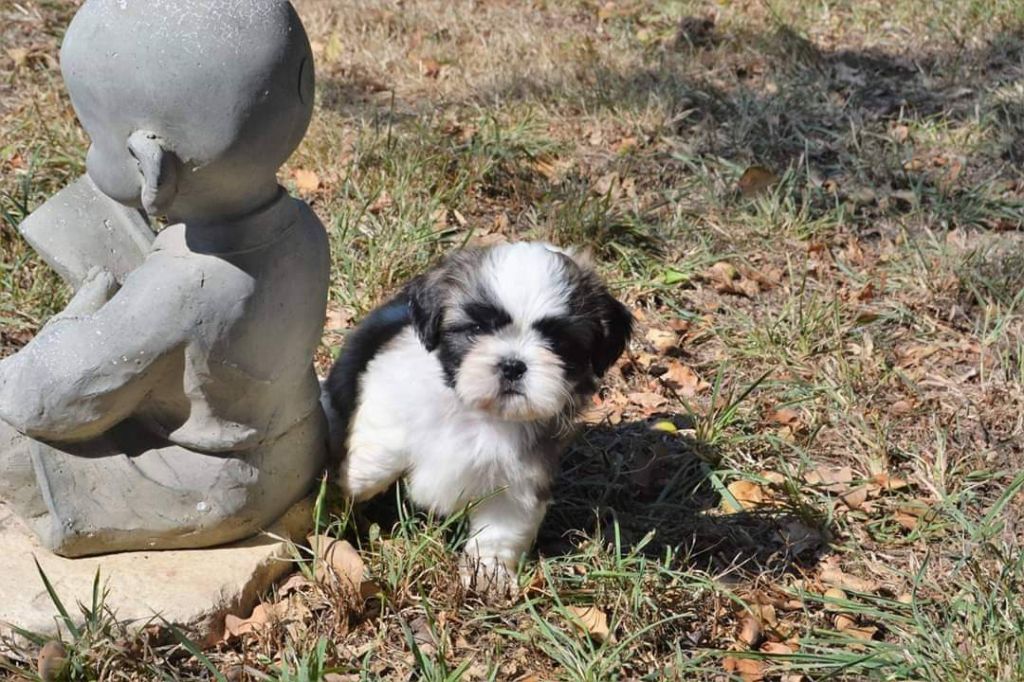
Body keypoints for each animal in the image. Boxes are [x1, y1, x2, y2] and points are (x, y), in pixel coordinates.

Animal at [325, 240, 630, 585]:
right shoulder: (389, 393)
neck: (479, 414)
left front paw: (489, 575)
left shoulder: (519, 483)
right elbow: (383, 448)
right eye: (479, 328)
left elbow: (500, 531)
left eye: (557, 341)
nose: (513, 365)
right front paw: (349, 482)